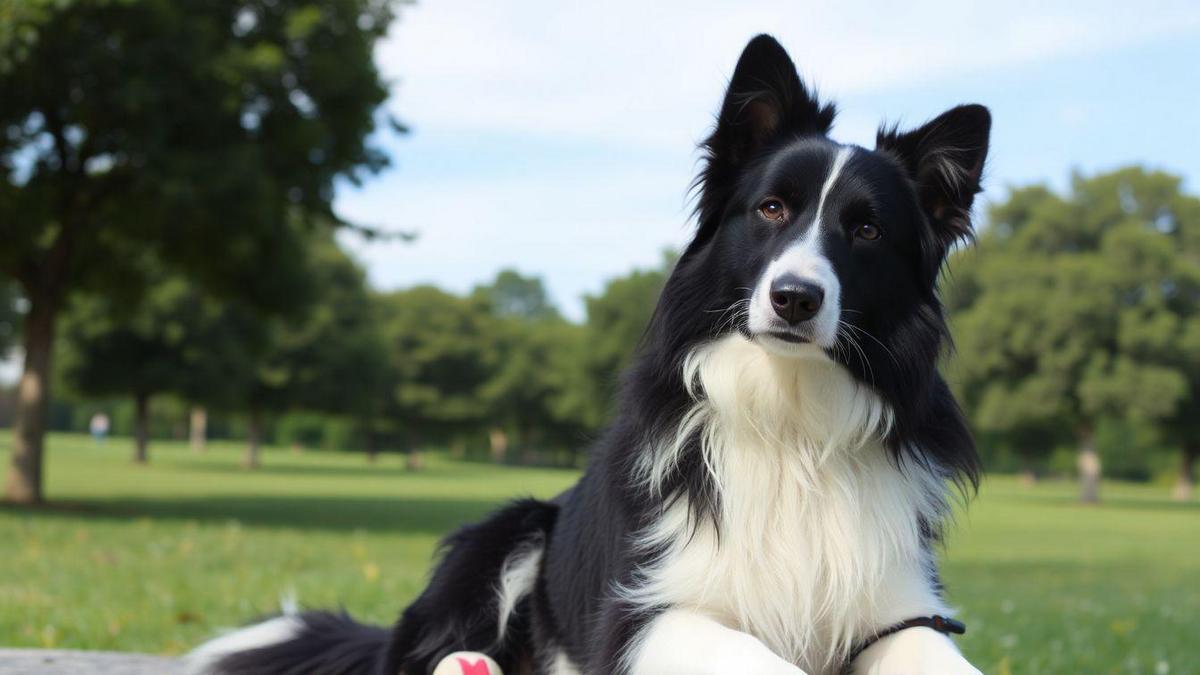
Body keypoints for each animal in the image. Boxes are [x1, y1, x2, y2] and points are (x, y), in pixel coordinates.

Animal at [192, 35, 988, 672]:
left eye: (867, 230)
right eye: (771, 209)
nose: (795, 297)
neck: (790, 419)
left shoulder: (900, 609)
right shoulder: (647, 613)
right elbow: (757, 655)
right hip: (507, 532)